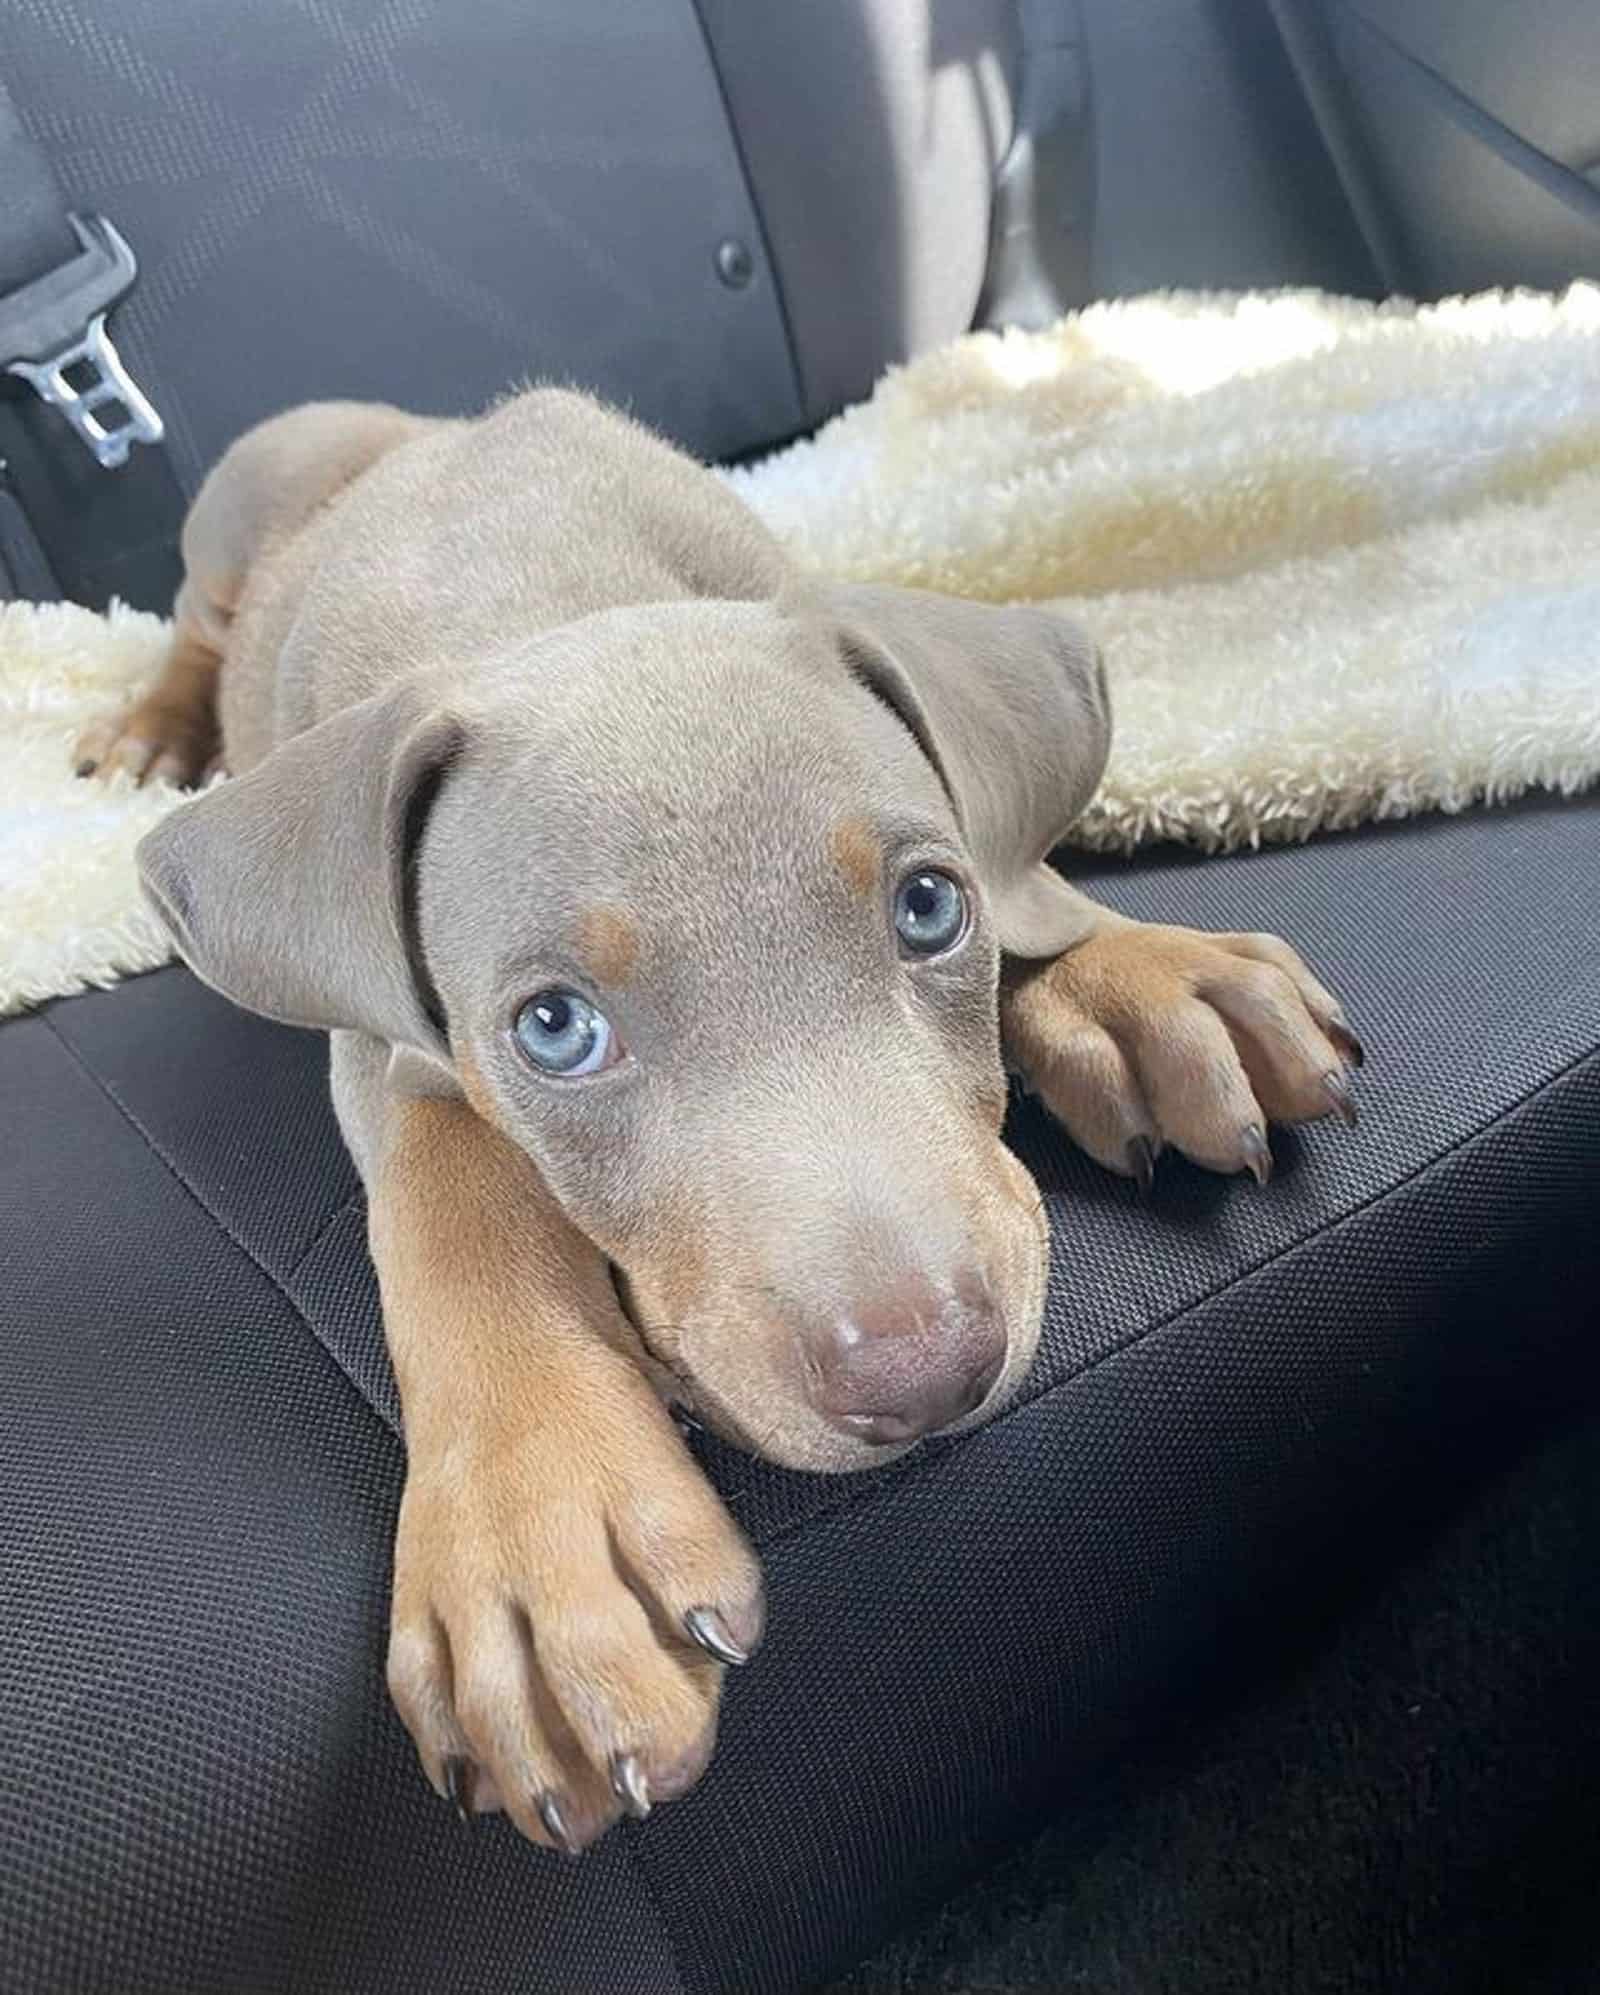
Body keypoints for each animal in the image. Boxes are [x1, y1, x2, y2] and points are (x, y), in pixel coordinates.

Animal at [80, 389, 1356, 1851]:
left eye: (930, 904)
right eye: (555, 1028)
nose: (924, 1375)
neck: (549, 586)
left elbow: (1027, 876)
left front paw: (1138, 976)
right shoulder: (388, 1038)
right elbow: (449, 1186)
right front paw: (542, 1525)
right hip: (243, 502)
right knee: (189, 626)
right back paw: (149, 733)